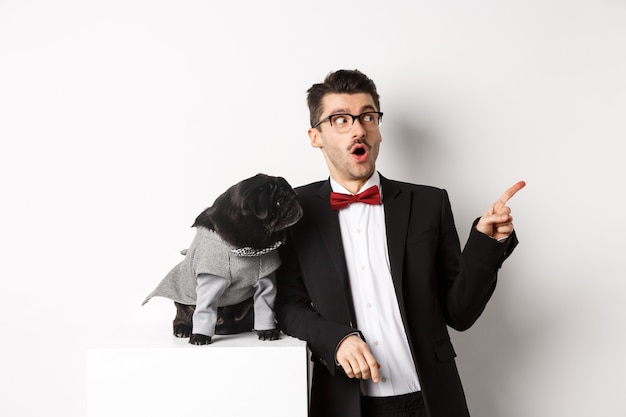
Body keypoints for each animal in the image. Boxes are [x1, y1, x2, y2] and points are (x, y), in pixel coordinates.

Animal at [144, 172, 304, 344]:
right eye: (280, 201)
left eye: (294, 195)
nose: (296, 201)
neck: (252, 246)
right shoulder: (210, 280)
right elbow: (204, 310)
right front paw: (199, 336)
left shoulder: (265, 280)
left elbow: (265, 306)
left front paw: (268, 331)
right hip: (183, 301)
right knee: (182, 316)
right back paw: (183, 329)